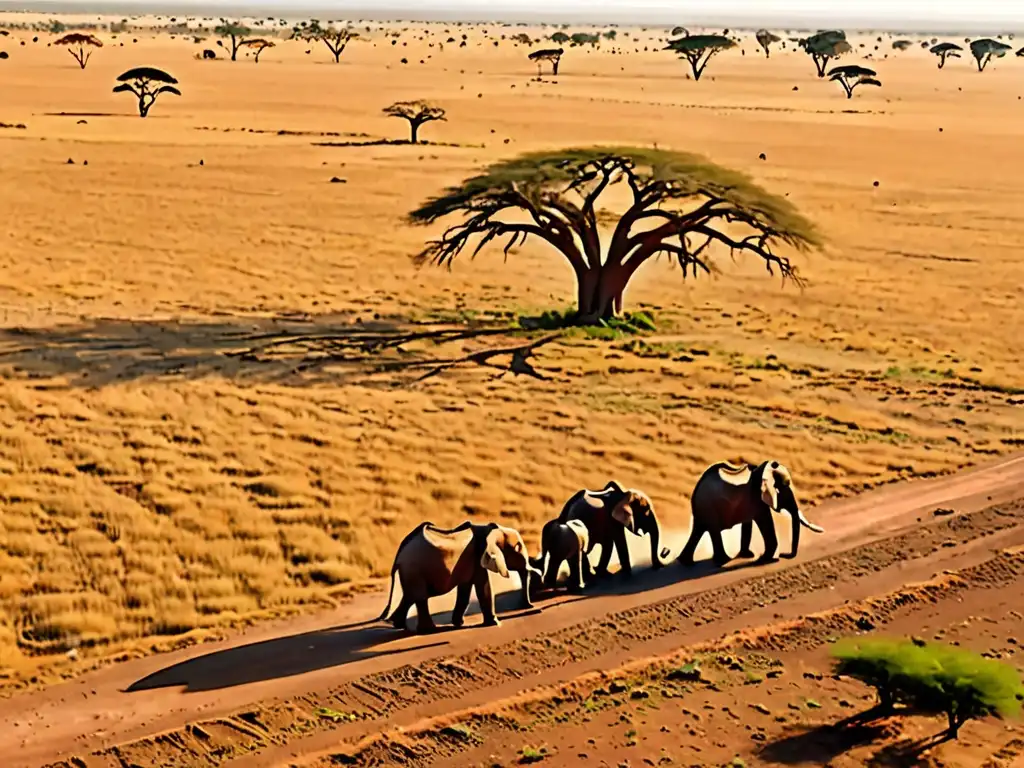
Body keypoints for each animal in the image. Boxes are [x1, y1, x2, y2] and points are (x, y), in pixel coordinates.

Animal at [378, 524, 544, 638]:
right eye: (517, 548)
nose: (531, 607)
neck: (491, 529)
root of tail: (399, 556)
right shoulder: (479, 558)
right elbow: (483, 588)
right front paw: (496, 624)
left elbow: (465, 590)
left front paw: (458, 623)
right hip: (415, 570)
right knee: (419, 598)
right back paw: (430, 630)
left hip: (410, 573)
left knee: (410, 597)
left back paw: (398, 625)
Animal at [675, 460, 827, 569]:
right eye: (782, 488)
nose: (785, 555)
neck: (763, 470)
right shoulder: (757, 499)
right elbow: (764, 521)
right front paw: (768, 559)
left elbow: (748, 523)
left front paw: (749, 555)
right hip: (709, 507)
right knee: (712, 530)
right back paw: (723, 561)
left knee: (699, 530)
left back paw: (686, 562)